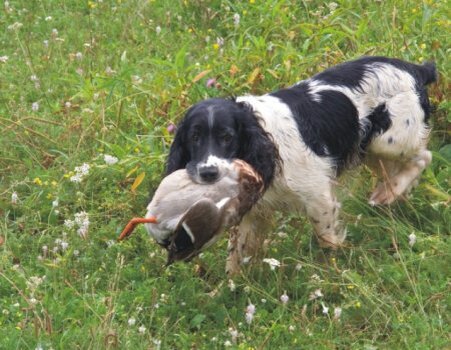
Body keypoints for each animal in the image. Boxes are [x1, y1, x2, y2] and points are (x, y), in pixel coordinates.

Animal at [164, 56, 436, 274]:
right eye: (194, 137)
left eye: (227, 137)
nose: (208, 173)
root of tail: (415, 69)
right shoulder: (254, 212)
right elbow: (237, 254)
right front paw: (227, 290)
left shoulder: (318, 197)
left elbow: (326, 238)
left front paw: (333, 266)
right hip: (372, 151)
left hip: (388, 141)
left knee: (424, 157)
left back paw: (386, 193)